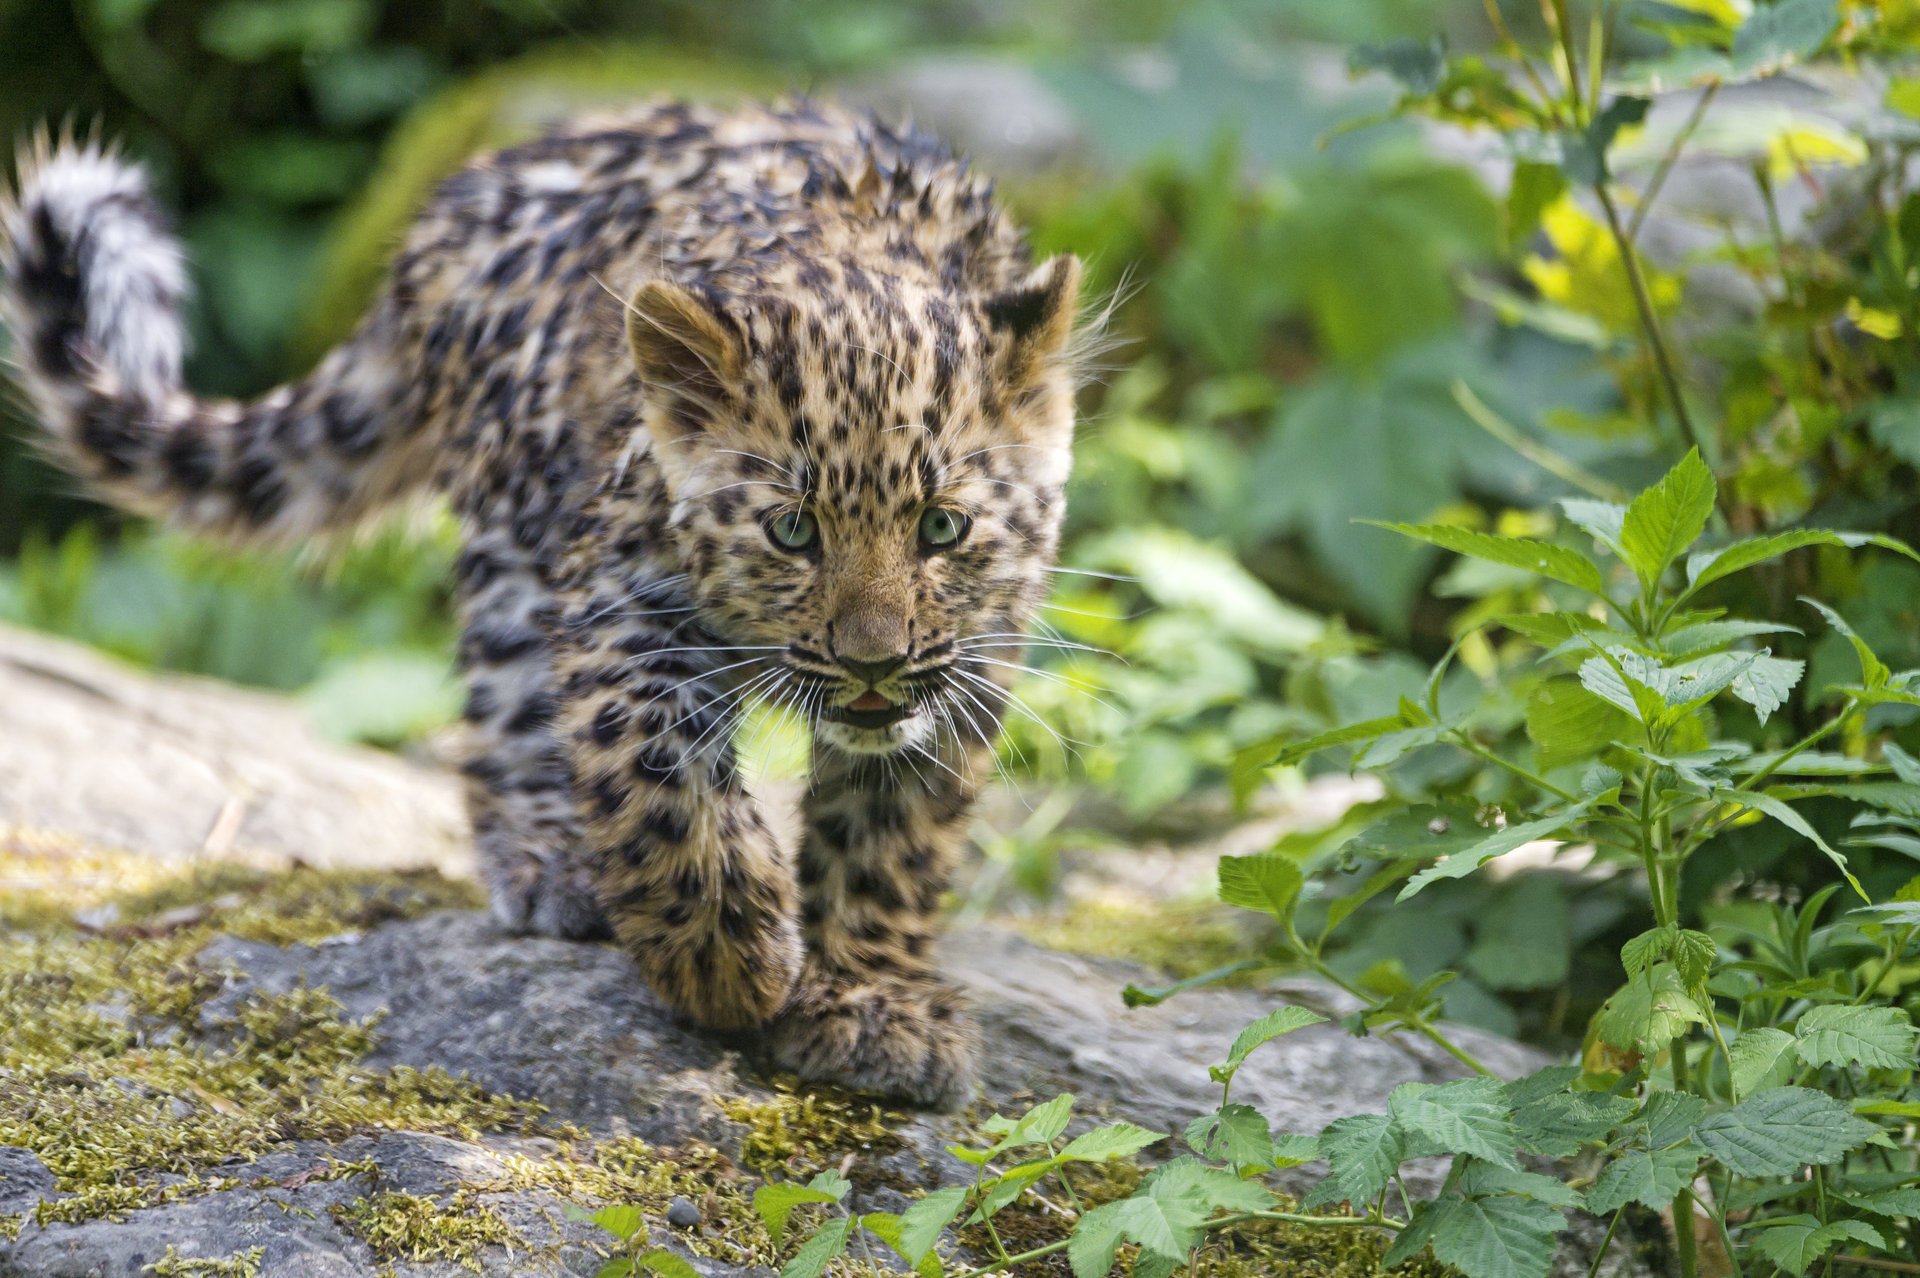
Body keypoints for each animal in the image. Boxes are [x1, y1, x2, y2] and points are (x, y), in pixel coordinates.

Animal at [0, 101, 1087, 1108]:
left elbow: (889, 831)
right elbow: (655, 775)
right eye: (791, 531)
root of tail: (446, 216)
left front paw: (870, 1002)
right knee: (504, 717)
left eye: (941, 528)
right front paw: (727, 962)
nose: (871, 663)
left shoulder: (969, 658)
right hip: (515, 536)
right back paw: (551, 862)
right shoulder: (619, 598)